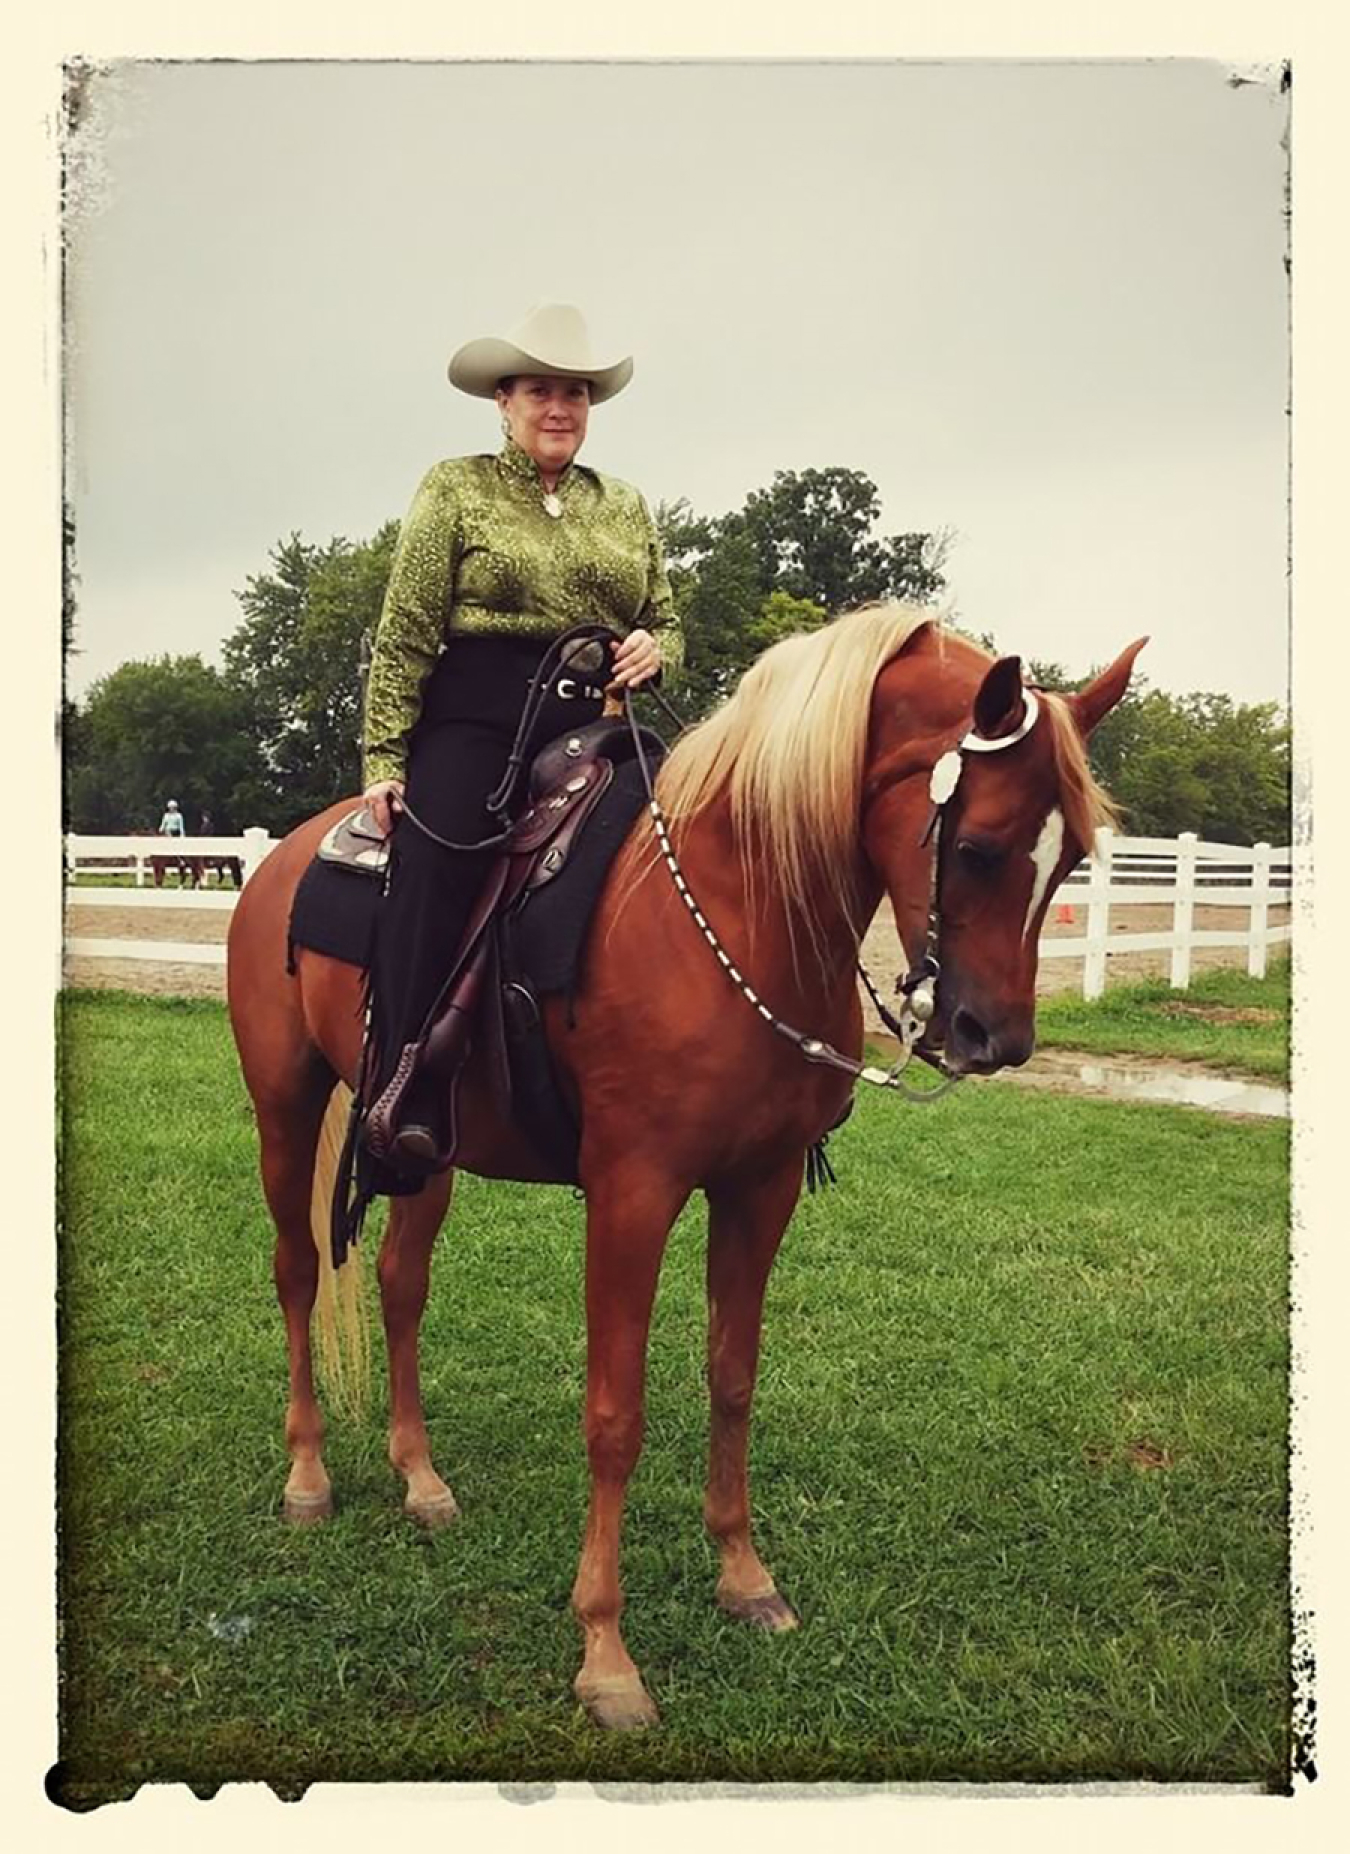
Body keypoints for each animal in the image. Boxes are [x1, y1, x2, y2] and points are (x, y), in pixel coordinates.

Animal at [227, 600, 1142, 1727]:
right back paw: (307, 1477)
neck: (730, 905)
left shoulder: (761, 1188)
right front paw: (606, 1653)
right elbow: (615, 1416)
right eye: (974, 848)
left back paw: (422, 1481)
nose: (993, 1039)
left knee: (401, 1284)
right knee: (299, 1274)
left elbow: (733, 1377)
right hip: (285, 1107)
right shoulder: (632, 1194)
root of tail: (282, 857)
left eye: (1072, 860)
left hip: (422, 1151)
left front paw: (746, 1581)